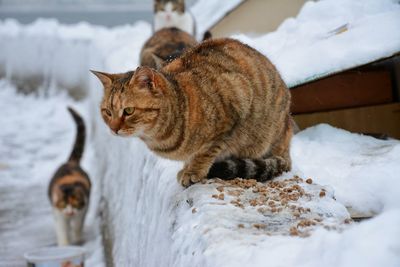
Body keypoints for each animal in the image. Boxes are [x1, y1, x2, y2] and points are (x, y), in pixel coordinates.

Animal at [47, 108, 90, 246]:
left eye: (74, 204)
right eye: (64, 204)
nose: (70, 212)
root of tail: (71, 163)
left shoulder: (83, 209)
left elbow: (77, 225)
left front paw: (77, 240)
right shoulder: (58, 212)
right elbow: (61, 229)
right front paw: (64, 245)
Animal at [91, 38, 294, 187]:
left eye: (128, 110)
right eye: (107, 112)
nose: (113, 129)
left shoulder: (235, 104)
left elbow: (206, 150)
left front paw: (193, 171)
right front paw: (187, 167)